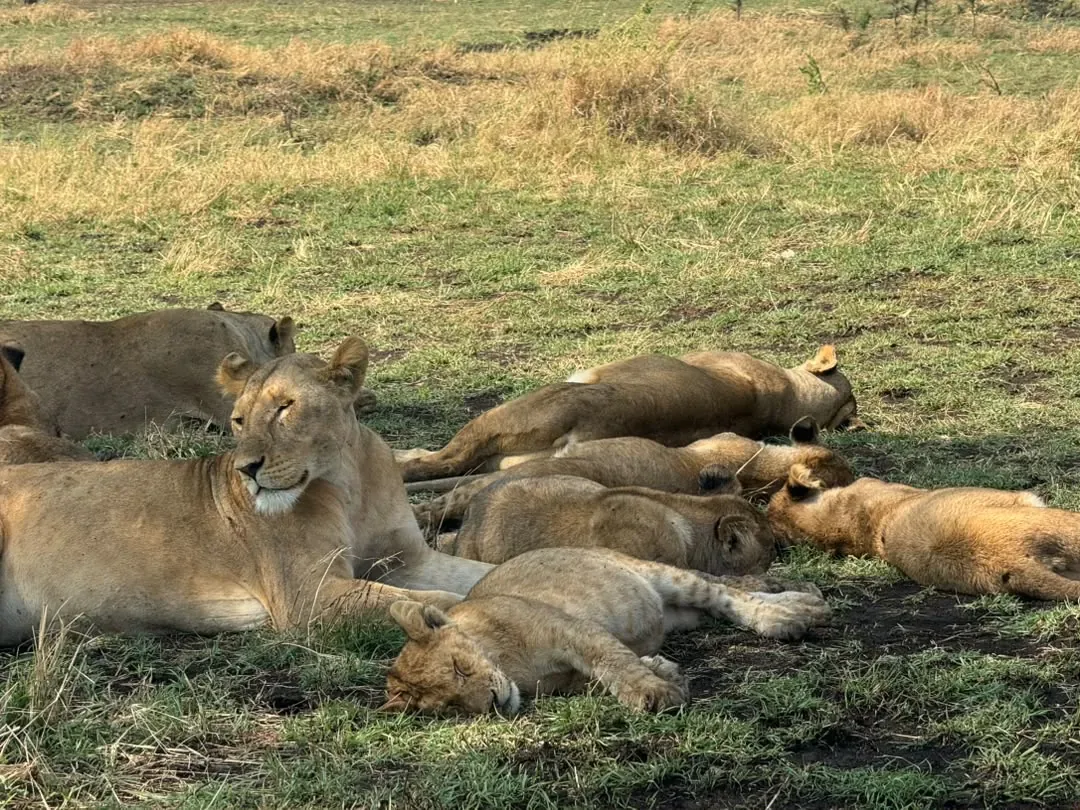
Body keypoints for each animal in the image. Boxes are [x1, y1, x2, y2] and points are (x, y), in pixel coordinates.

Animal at [0, 337, 492, 647]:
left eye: (285, 408)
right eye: (239, 420)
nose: (246, 469)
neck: (350, 484)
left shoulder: (410, 560)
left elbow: (478, 574)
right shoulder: (306, 596)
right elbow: (436, 599)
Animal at [382, 547, 831, 715]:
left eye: (460, 667)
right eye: (450, 706)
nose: (493, 703)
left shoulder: (570, 629)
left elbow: (612, 661)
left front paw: (654, 692)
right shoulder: (566, 679)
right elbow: (609, 671)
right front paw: (665, 673)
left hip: (661, 576)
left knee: (723, 592)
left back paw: (792, 611)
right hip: (680, 613)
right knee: (720, 597)